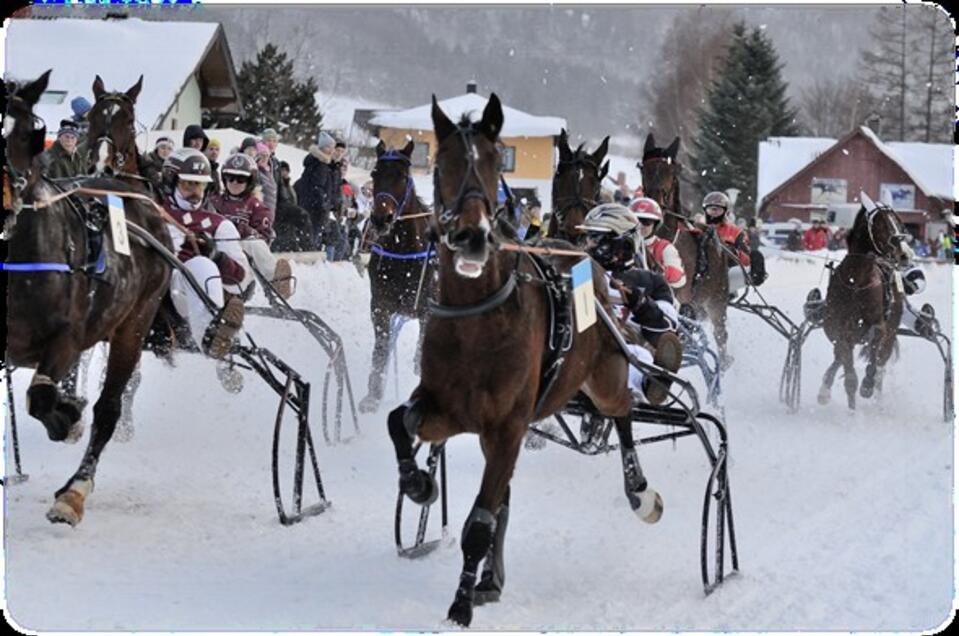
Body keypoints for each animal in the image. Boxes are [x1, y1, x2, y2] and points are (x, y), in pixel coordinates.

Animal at [2, 71, 172, 528]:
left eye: (26, 133)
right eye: (93, 119)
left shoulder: (67, 338)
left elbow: (43, 398)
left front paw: (68, 419)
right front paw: (67, 410)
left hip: (134, 326)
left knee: (109, 408)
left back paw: (74, 491)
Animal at [358, 139, 436, 412]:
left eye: (402, 175)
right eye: (374, 173)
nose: (382, 218)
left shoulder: (428, 310)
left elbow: (423, 351)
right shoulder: (380, 305)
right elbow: (382, 348)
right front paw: (372, 396)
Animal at [386, 93, 664, 628]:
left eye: (497, 163)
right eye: (441, 164)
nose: (472, 236)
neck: (478, 318)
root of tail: (584, 257)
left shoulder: (507, 425)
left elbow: (479, 520)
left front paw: (459, 605)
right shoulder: (446, 407)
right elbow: (398, 421)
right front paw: (419, 483)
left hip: (605, 376)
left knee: (621, 411)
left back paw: (640, 490)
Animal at [816, 196, 916, 410]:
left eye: (899, 222)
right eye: (884, 224)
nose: (906, 254)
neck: (857, 282)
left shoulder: (878, 323)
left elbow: (876, 342)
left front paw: (867, 385)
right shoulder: (836, 326)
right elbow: (845, 362)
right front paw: (848, 402)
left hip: (892, 330)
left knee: (881, 359)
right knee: (840, 355)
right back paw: (826, 388)